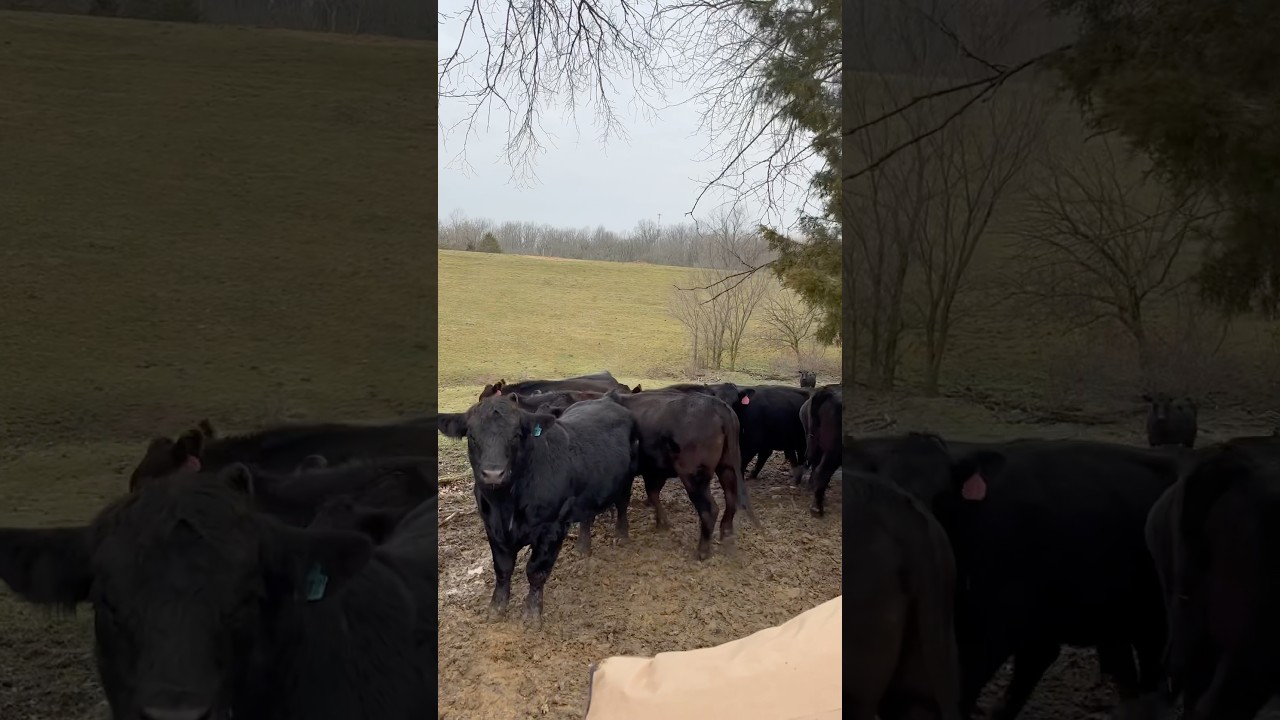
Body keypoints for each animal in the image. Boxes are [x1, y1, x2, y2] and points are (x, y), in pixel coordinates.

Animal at [438, 394, 639, 627]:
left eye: (516, 435)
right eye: (471, 435)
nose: (493, 474)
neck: (505, 505)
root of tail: (607, 398)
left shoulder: (552, 528)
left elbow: (536, 571)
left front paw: (532, 615)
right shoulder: (492, 527)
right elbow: (502, 569)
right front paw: (496, 608)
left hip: (627, 478)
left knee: (622, 505)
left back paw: (621, 537)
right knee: (587, 516)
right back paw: (582, 548)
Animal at [603, 390, 759, 560]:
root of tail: (718, 405)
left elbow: (624, 501)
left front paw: (621, 533)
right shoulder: (654, 470)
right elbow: (652, 493)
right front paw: (662, 523)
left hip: (693, 475)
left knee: (710, 509)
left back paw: (702, 551)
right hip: (727, 466)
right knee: (731, 497)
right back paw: (726, 532)